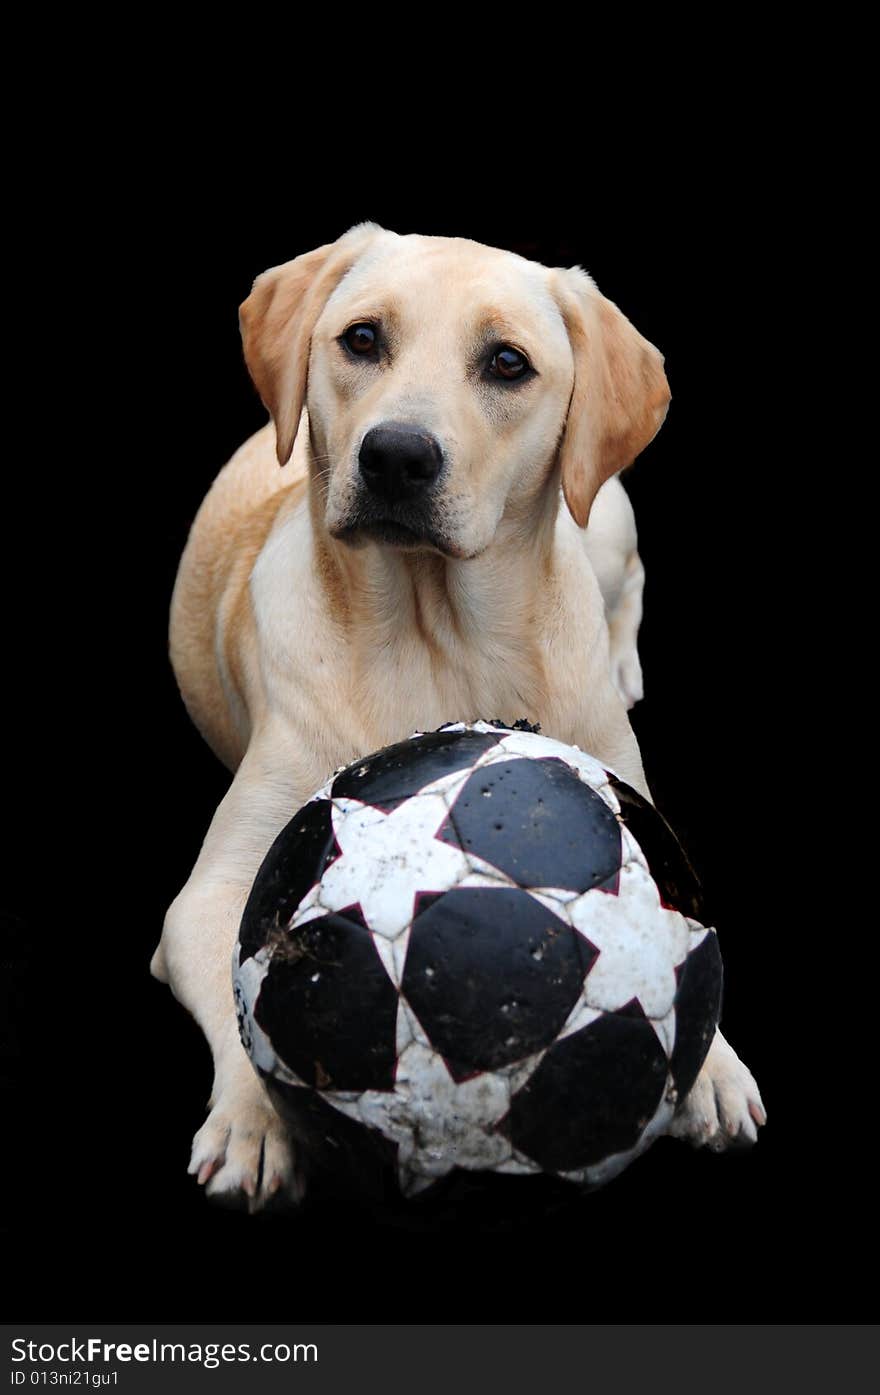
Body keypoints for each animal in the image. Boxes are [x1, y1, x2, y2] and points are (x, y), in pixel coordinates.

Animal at [154, 223, 769, 1205]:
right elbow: (238, 974)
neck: (437, 638)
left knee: (629, 576)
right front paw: (257, 1120)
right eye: (362, 339)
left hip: (605, 521)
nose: (396, 455)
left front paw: (713, 1065)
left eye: (508, 362)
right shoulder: (208, 897)